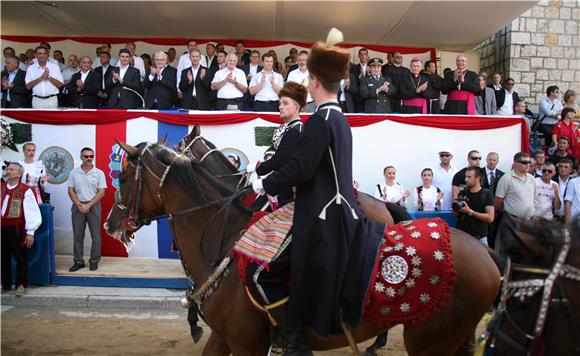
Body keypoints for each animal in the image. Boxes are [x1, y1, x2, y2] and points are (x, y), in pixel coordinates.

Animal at [105, 140, 502, 354]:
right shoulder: (224, 337)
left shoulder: (246, 343)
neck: (223, 237)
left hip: (431, 342)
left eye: (122, 176)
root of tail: (484, 253)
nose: (110, 223)